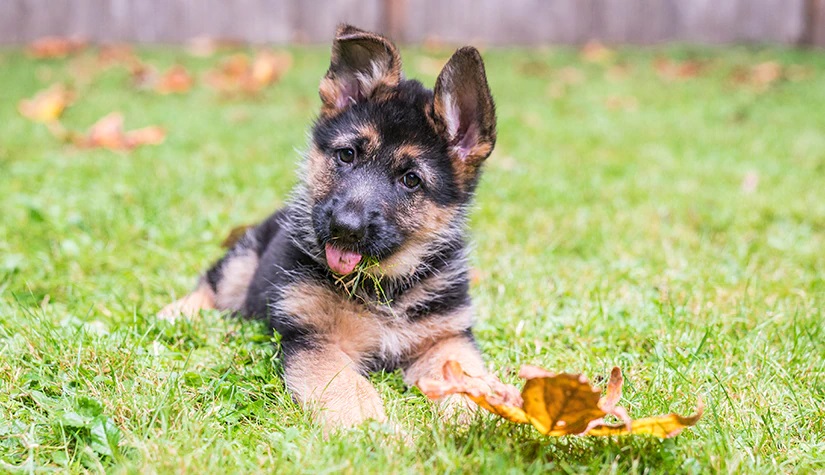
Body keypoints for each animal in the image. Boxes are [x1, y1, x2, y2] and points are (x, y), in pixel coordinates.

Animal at [160, 23, 496, 432]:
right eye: (347, 155)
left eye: (411, 180)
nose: (345, 228)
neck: (383, 287)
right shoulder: (314, 339)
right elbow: (347, 387)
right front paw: (374, 430)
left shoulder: (447, 337)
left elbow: (466, 375)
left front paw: (478, 415)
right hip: (243, 260)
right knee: (212, 285)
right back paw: (176, 313)